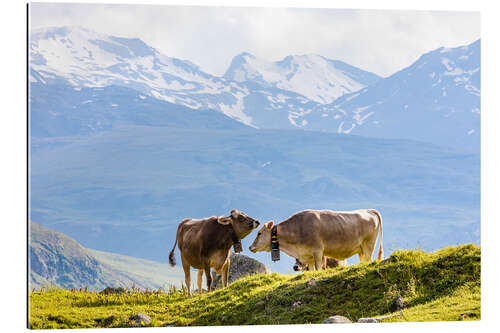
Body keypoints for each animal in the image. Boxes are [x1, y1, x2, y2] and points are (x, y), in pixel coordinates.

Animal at [249, 208, 382, 270]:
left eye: (259, 233)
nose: (250, 247)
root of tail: (368, 210)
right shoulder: (308, 256)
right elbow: (312, 270)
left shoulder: (318, 251)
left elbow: (318, 268)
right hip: (360, 250)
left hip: (368, 245)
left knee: (369, 259)